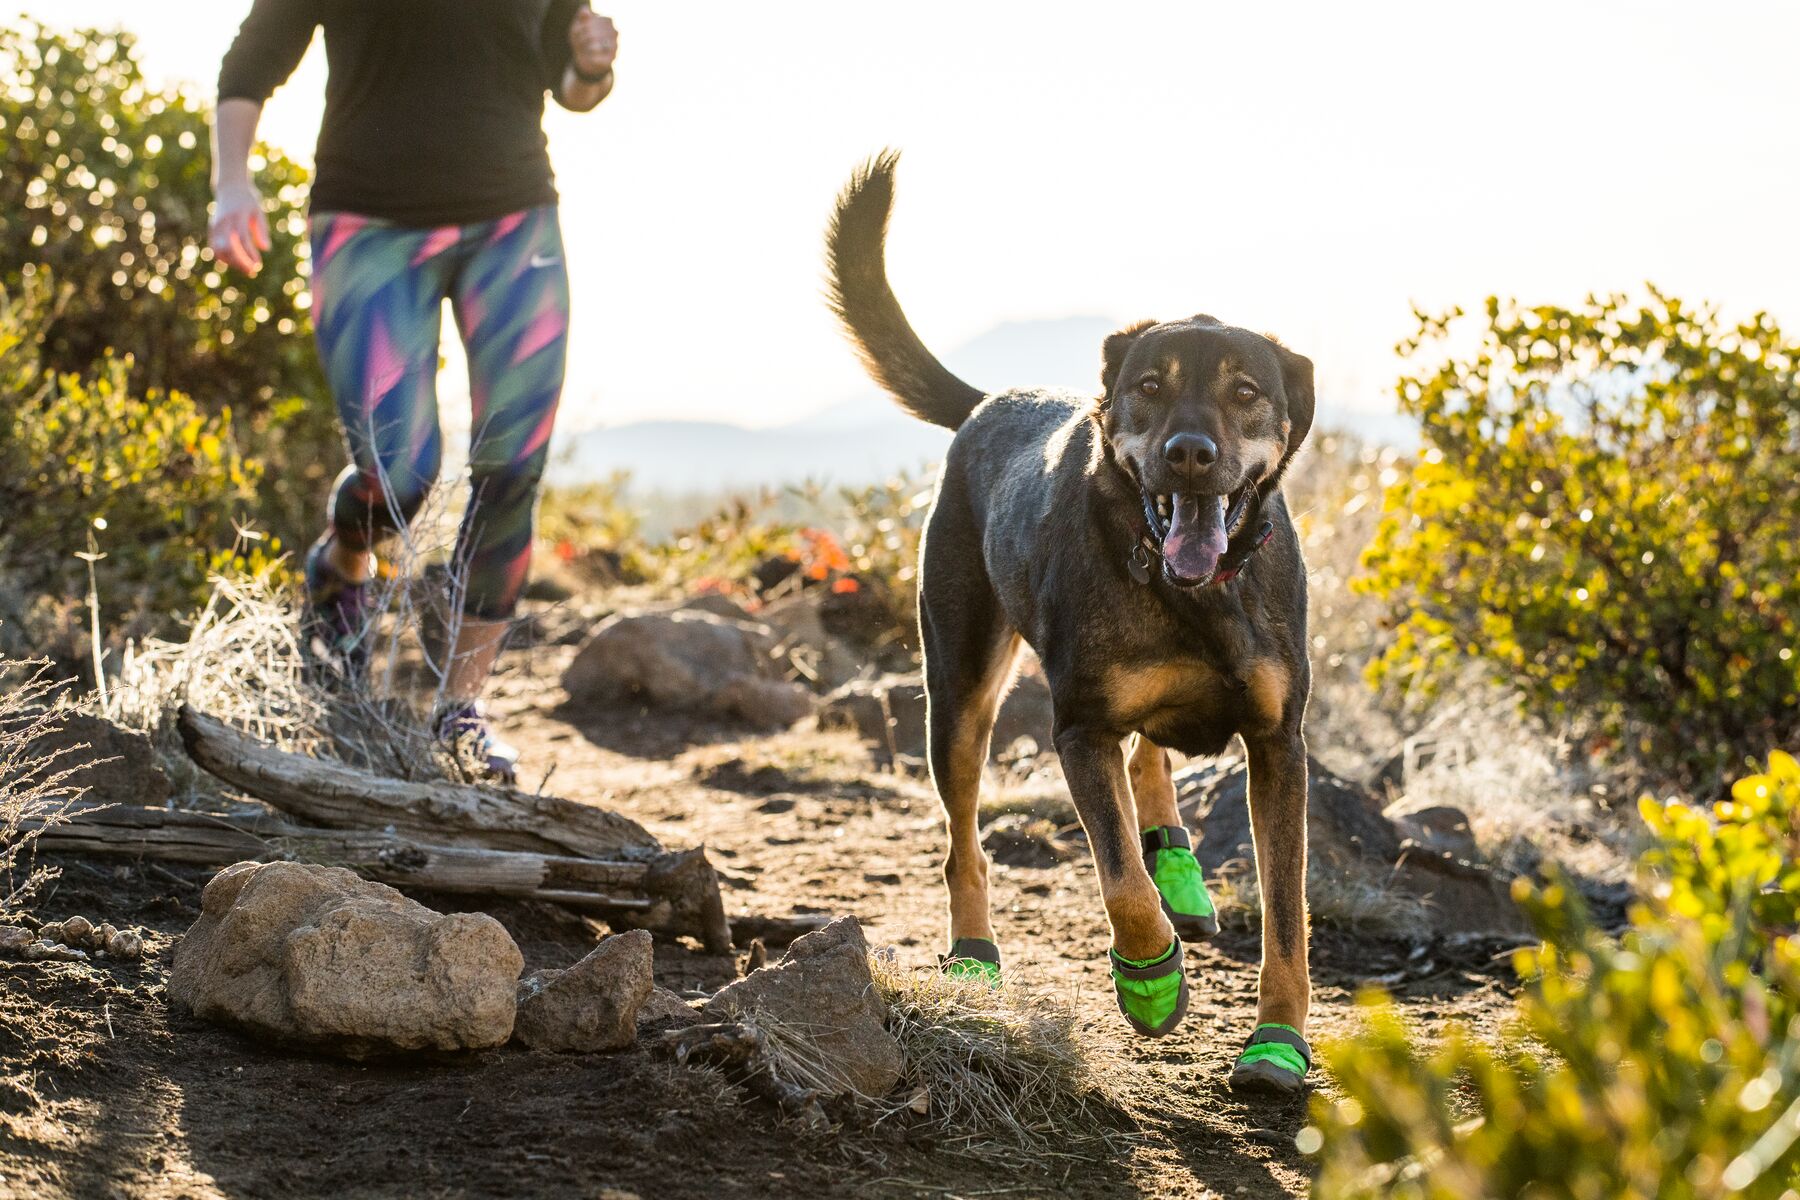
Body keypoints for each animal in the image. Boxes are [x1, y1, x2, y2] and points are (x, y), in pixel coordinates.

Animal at [824, 152, 1317, 1101]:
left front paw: (1278, 1043)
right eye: (1150, 389)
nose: (1190, 454)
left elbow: (1287, 912)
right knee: (965, 841)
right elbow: (1118, 876)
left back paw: (1179, 872)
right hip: (959, 689)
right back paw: (976, 954)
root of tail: (992, 401)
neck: (1192, 597)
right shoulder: (1080, 726)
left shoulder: (1280, 744)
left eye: (1246, 393)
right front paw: (1151, 982)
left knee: (1151, 760)